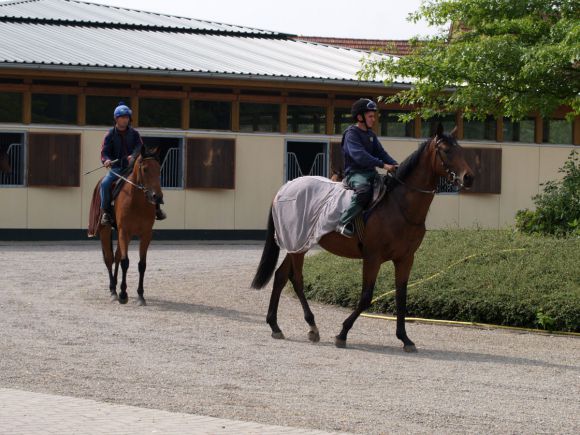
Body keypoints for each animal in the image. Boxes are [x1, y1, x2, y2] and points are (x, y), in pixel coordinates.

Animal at [90, 146, 163, 306]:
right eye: (145, 169)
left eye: (159, 169)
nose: (158, 197)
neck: (137, 201)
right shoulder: (124, 232)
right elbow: (125, 262)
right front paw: (123, 294)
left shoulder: (146, 234)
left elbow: (142, 264)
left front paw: (140, 295)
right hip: (105, 230)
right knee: (109, 259)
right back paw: (113, 290)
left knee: (116, 256)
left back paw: (116, 287)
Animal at [251, 124, 474, 352]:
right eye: (446, 150)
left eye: (460, 149)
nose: (468, 177)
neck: (399, 206)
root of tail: (285, 189)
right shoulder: (372, 257)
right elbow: (366, 296)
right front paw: (342, 333)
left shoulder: (405, 259)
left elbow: (401, 296)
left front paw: (405, 338)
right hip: (299, 245)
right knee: (296, 280)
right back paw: (312, 326)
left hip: (298, 243)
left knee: (280, 276)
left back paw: (275, 325)